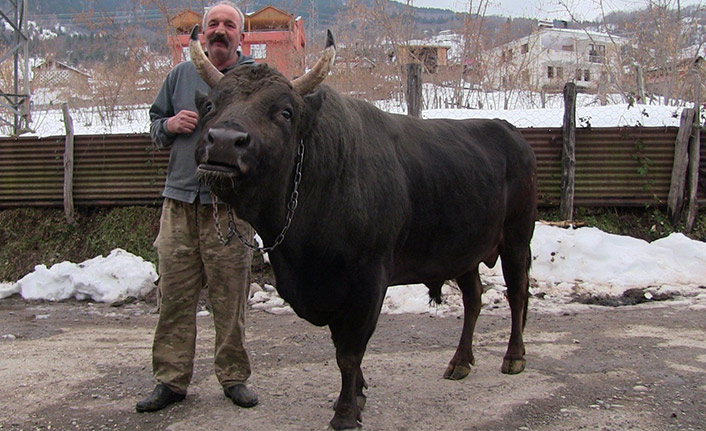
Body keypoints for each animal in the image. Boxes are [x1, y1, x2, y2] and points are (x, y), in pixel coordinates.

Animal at [190, 29, 536, 428]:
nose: (224, 141)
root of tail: (509, 131)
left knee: (517, 293)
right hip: (464, 251)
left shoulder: (368, 281)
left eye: (285, 112)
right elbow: (341, 347)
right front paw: (358, 393)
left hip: (517, 239)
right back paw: (460, 361)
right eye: (210, 105)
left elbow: (349, 352)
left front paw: (345, 411)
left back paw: (514, 357)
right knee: (474, 299)